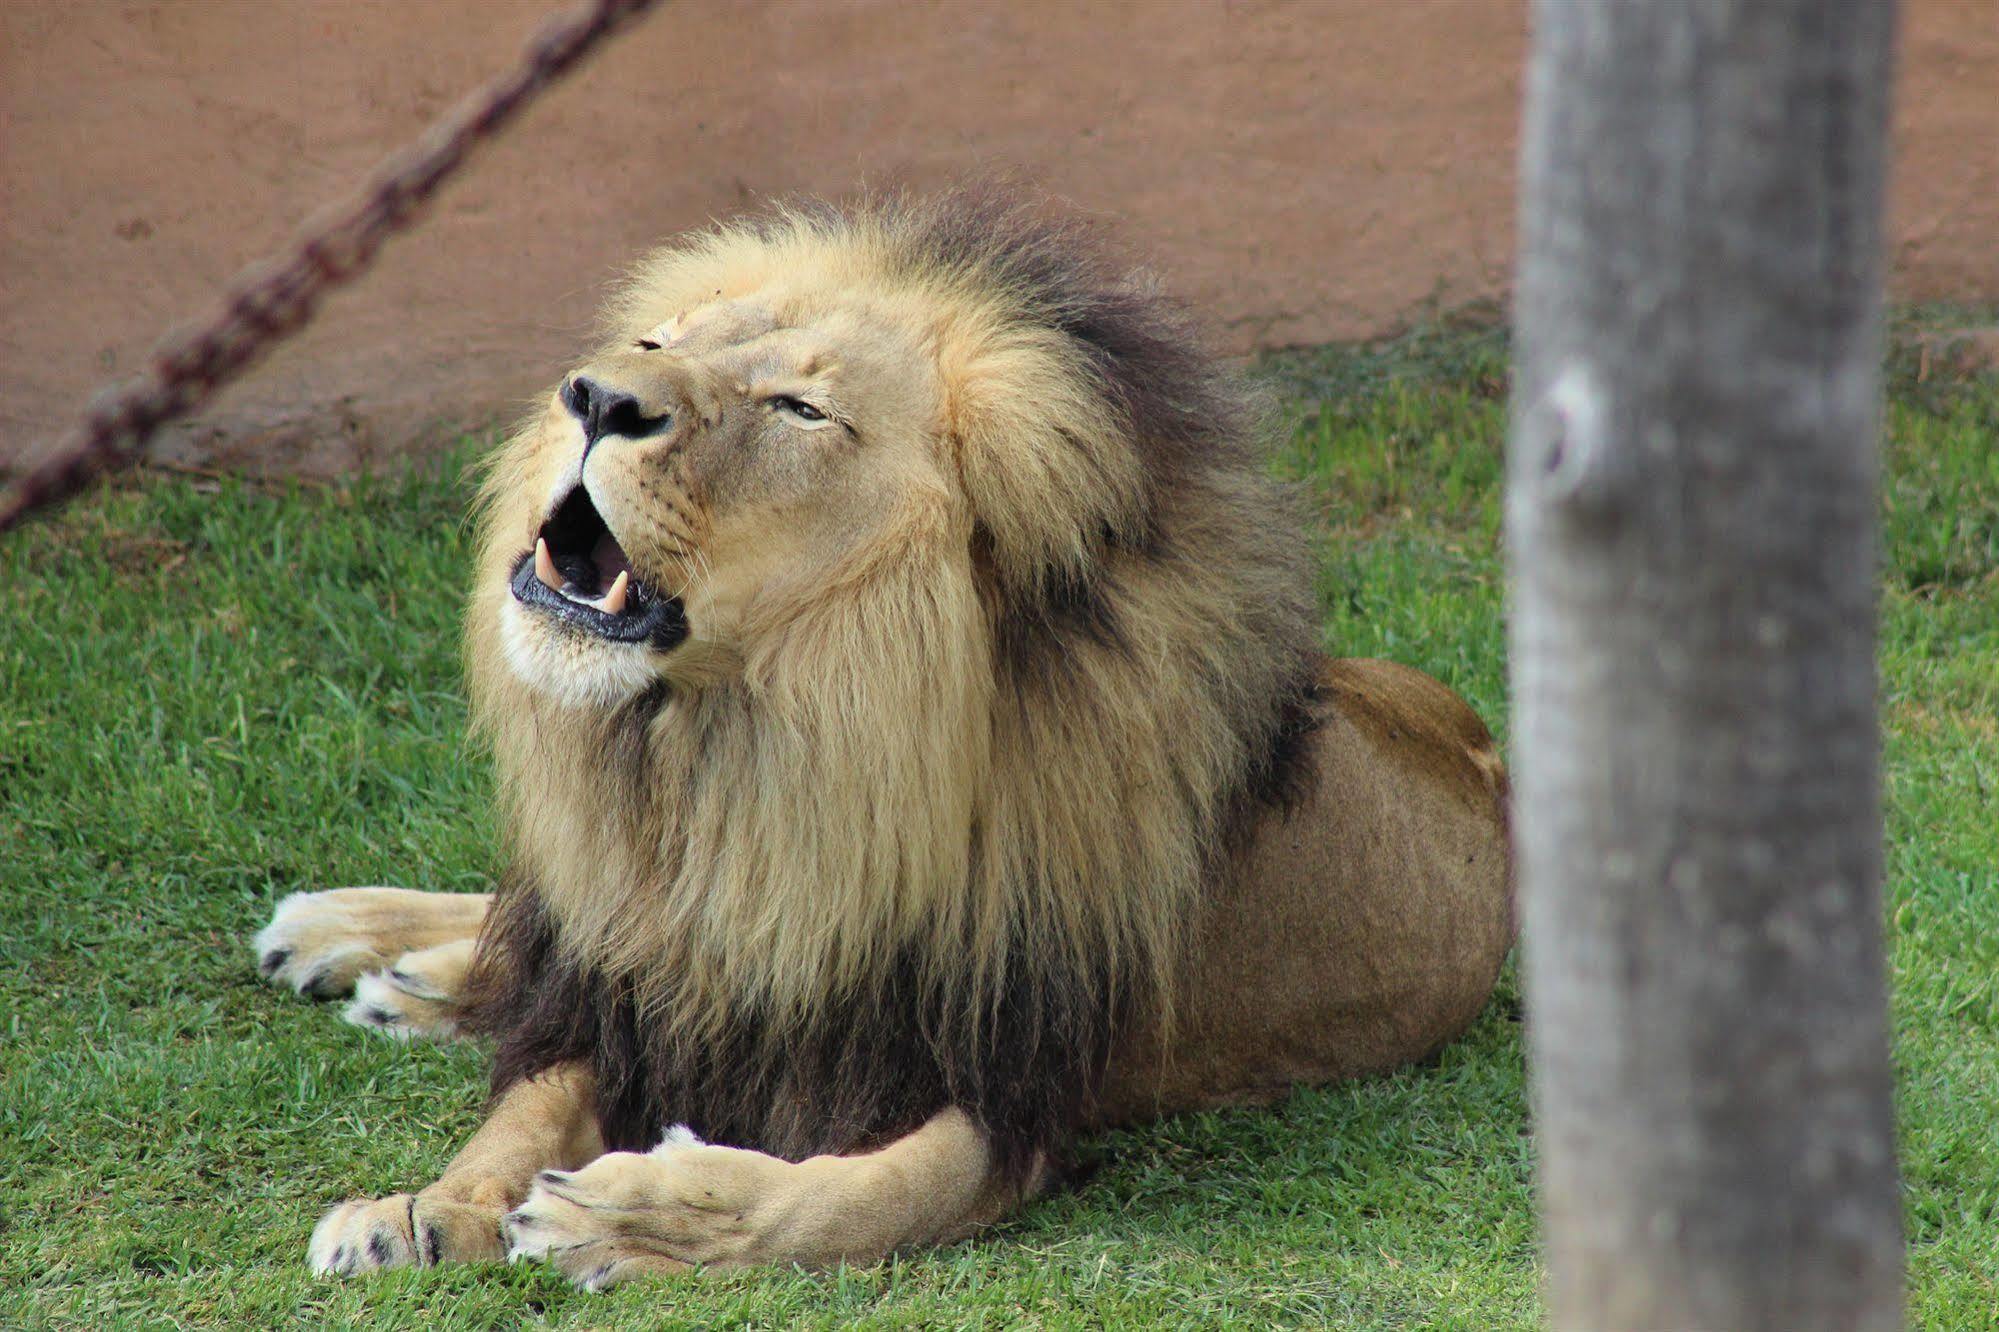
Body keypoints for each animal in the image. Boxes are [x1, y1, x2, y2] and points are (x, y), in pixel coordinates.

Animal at [249, 189, 1503, 1288]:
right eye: (653, 342)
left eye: (800, 410)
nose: (595, 397)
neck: (759, 765)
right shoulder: (628, 998)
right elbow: (522, 1110)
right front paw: (424, 1208)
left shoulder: (1016, 1082)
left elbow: (852, 1197)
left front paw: (645, 1217)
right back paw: (359, 937)